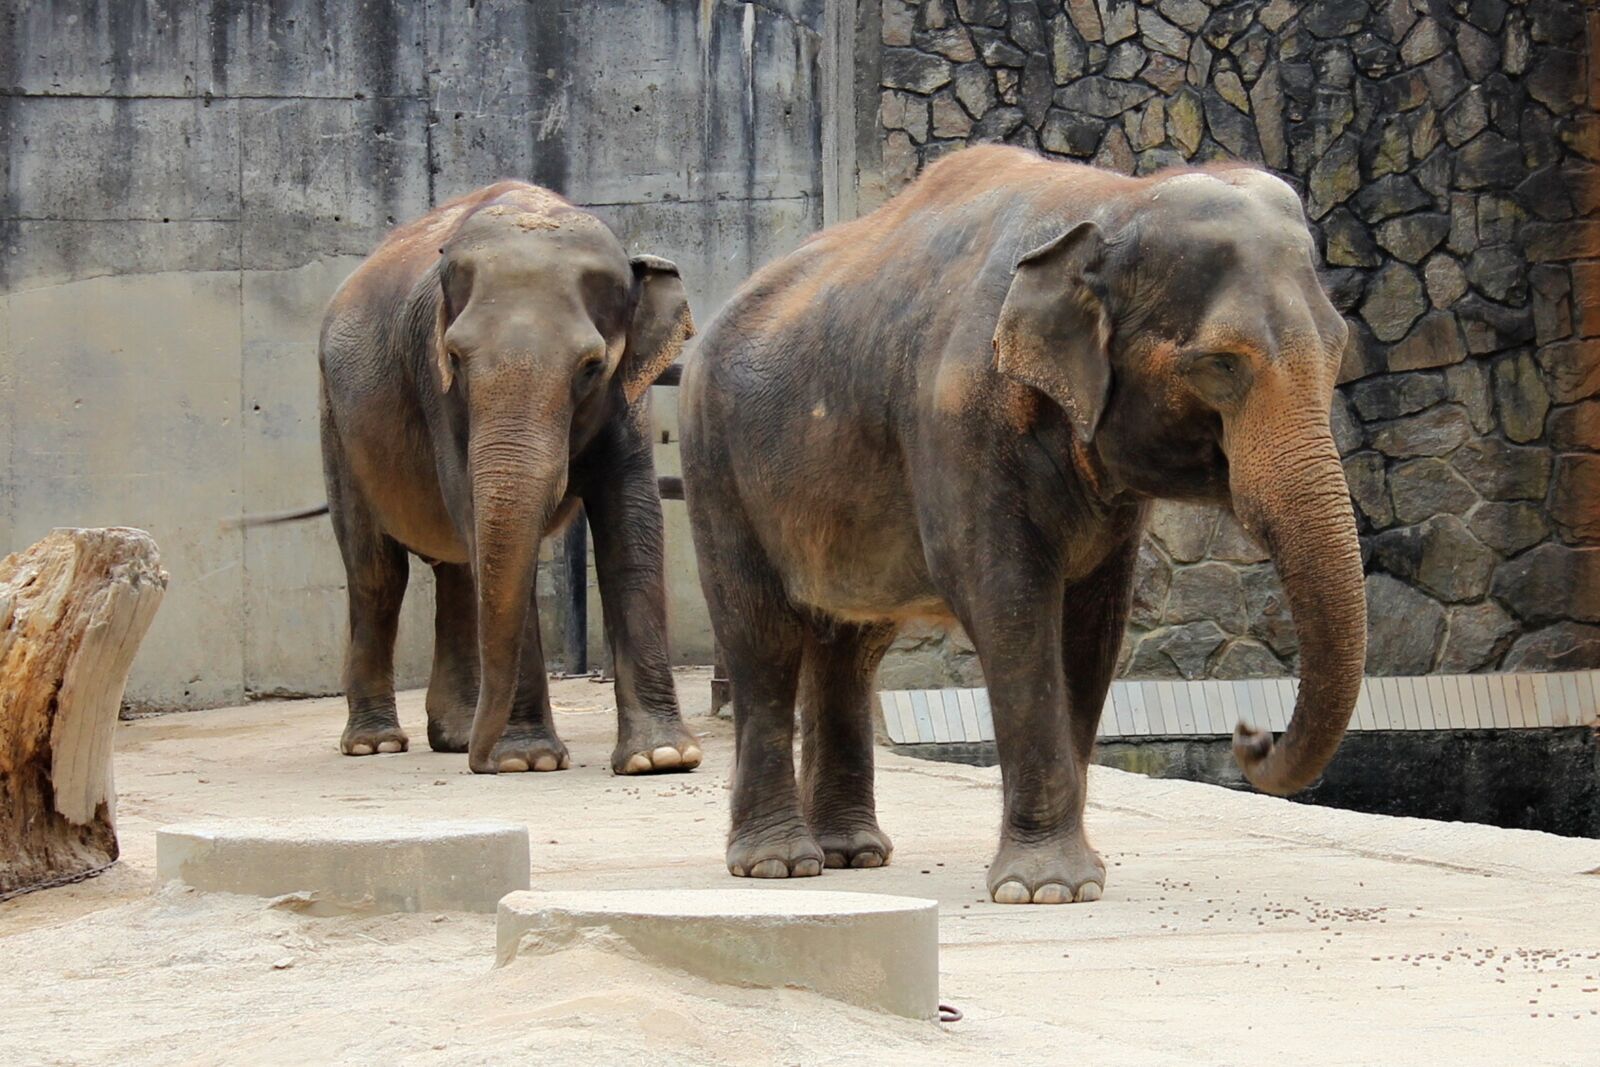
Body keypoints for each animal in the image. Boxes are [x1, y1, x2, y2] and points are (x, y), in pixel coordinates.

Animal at [313, 180, 702, 775]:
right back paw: (376, 744)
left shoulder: (627, 395)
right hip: (338, 426)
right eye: (454, 357)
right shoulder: (436, 389)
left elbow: (632, 523)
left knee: (455, 570)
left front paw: (661, 758)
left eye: (591, 366)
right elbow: (477, 517)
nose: (482, 763)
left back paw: (454, 735)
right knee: (376, 572)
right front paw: (527, 760)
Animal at [678, 145, 1365, 903]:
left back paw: (851, 854)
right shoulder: (958, 421)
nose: (1250, 734)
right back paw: (777, 865)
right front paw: (1044, 890)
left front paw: (1078, 879)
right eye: (1220, 364)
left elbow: (1093, 626)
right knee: (760, 635)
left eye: (1339, 350)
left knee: (851, 646)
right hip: (715, 463)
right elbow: (1009, 607)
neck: (1113, 200)